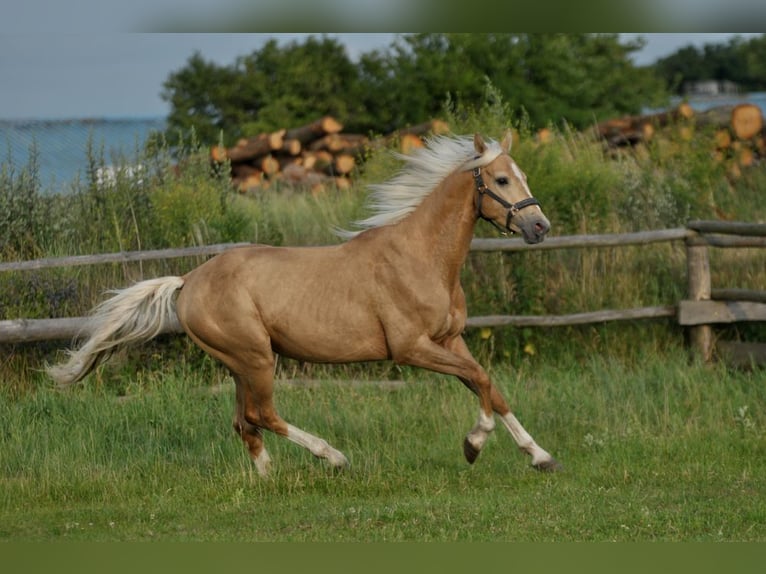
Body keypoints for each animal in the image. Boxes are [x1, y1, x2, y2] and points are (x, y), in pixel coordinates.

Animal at [48, 131, 560, 475]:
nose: (540, 227)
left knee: (244, 424)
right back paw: (332, 457)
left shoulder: (450, 339)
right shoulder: (411, 348)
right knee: (261, 415)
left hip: (240, 363)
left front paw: (541, 456)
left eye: (522, 176)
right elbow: (481, 381)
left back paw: (269, 479)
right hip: (255, 357)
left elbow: (489, 385)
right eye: (501, 179)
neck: (420, 256)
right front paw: (473, 444)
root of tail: (188, 280)